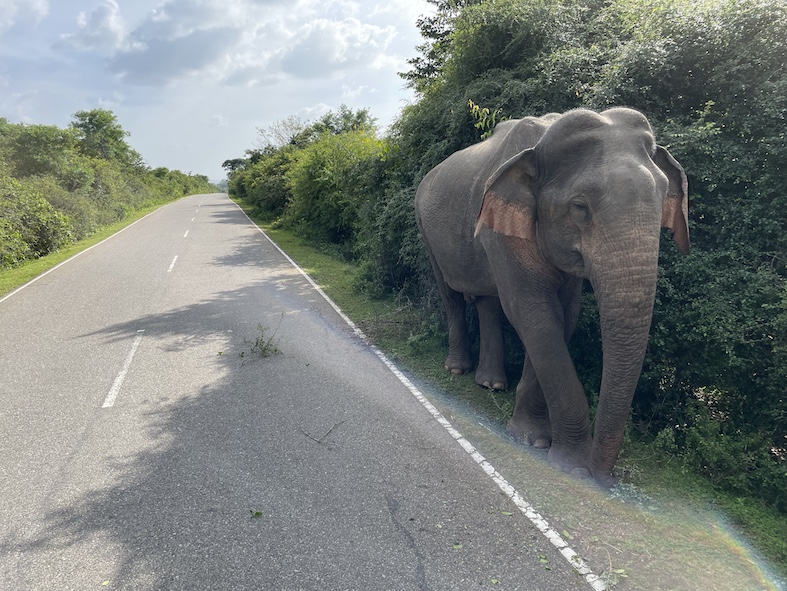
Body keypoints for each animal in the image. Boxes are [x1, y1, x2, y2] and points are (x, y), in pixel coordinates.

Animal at [414, 108, 689, 487]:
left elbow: (563, 315)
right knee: (450, 295)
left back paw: (491, 384)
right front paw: (567, 462)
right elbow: (534, 313)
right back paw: (457, 370)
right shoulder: (504, 224)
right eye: (579, 206)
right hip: (425, 227)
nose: (601, 478)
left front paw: (535, 440)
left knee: (487, 299)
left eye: (663, 199)